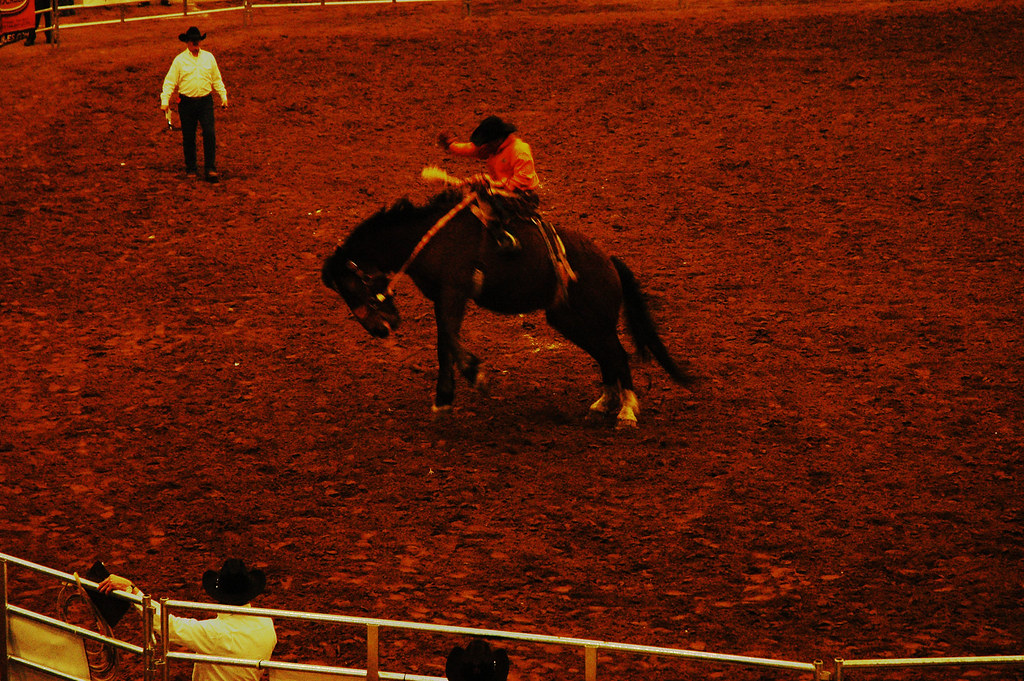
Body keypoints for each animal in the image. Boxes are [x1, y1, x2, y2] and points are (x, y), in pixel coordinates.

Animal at [320, 187, 693, 428]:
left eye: (350, 285)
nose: (379, 329)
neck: (431, 237)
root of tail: (610, 262)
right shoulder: (442, 297)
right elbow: (444, 343)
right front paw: (444, 400)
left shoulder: (454, 292)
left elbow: (448, 341)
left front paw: (475, 376)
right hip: (570, 321)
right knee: (607, 357)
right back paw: (604, 404)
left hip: (594, 321)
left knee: (618, 355)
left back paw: (627, 411)